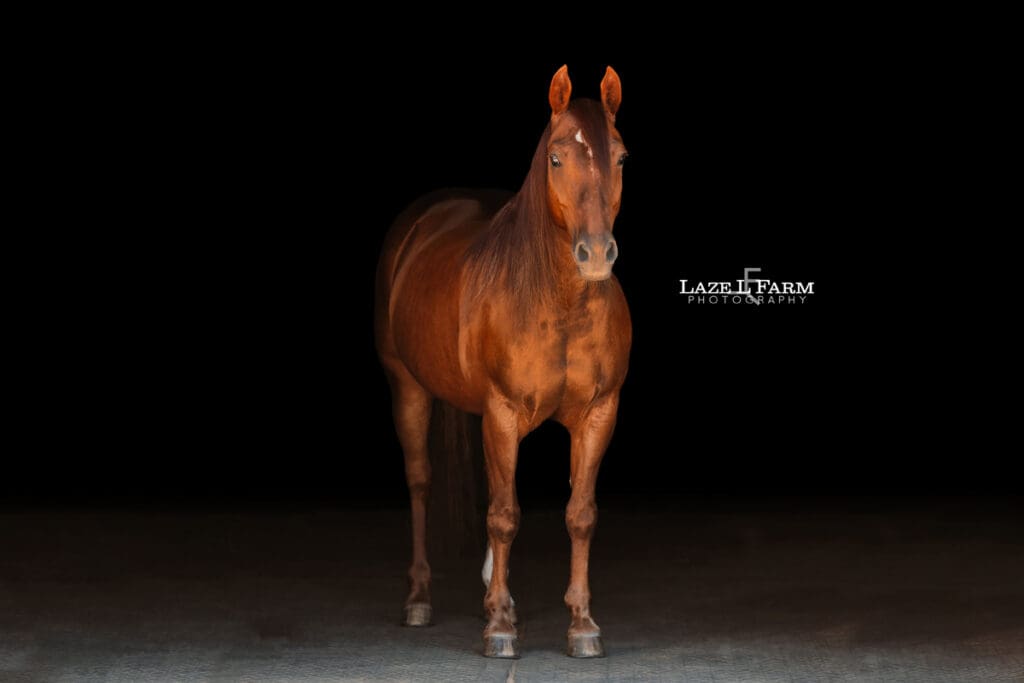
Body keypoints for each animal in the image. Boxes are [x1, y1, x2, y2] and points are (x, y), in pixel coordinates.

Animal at [374, 65, 631, 659]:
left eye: (621, 157)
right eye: (556, 158)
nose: (595, 255)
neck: (557, 302)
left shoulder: (598, 414)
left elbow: (579, 515)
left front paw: (582, 624)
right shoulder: (504, 412)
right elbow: (504, 515)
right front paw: (498, 630)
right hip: (409, 388)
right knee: (420, 484)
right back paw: (419, 600)